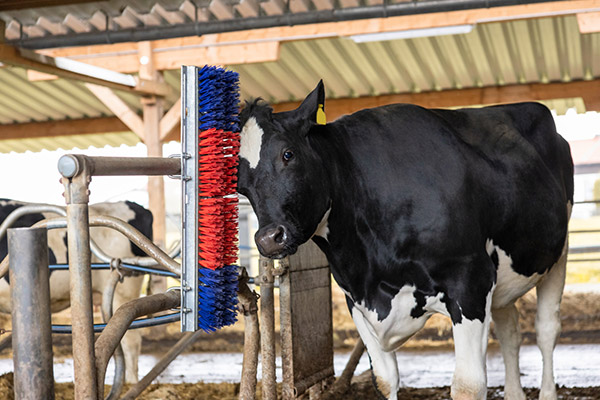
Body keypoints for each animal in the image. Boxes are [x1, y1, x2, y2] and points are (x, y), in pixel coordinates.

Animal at [237, 81, 576, 400]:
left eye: (288, 154)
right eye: (240, 184)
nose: (269, 238)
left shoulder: (470, 280)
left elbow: (468, 386)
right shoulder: (356, 301)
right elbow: (385, 380)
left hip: (558, 254)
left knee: (547, 329)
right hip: (503, 269)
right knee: (510, 330)